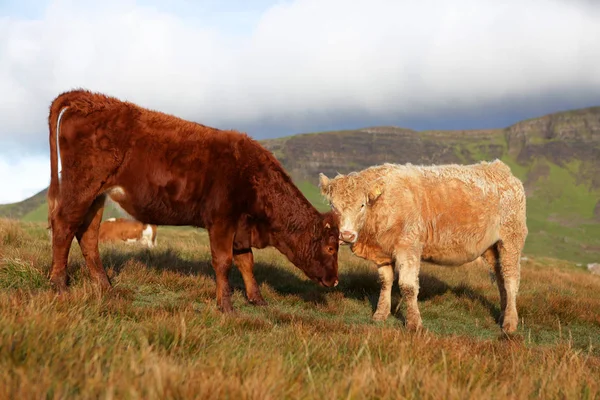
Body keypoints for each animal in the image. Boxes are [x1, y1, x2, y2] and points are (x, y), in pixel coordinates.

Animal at [46, 88, 340, 312]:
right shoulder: (222, 220)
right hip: (81, 187)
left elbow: (247, 262)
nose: (335, 281)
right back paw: (59, 285)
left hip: (96, 196)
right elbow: (223, 262)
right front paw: (226, 306)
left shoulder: (241, 226)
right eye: (330, 248)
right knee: (63, 226)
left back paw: (105, 287)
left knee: (87, 235)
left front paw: (257, 299)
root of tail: (89, 98)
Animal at [318, 161, 524, 332]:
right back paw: (502, 315)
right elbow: (385, 282)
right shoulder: (383, 253)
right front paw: (380, 314)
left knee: (511, 279)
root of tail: (499, 168)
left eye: (362, 205)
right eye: (333, 206)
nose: (346, 235)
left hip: (511, 240)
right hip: (492, 249)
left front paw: (413, 323)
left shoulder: (409, 247)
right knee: (501, 279)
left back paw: (510, 323)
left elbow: (408, 286)